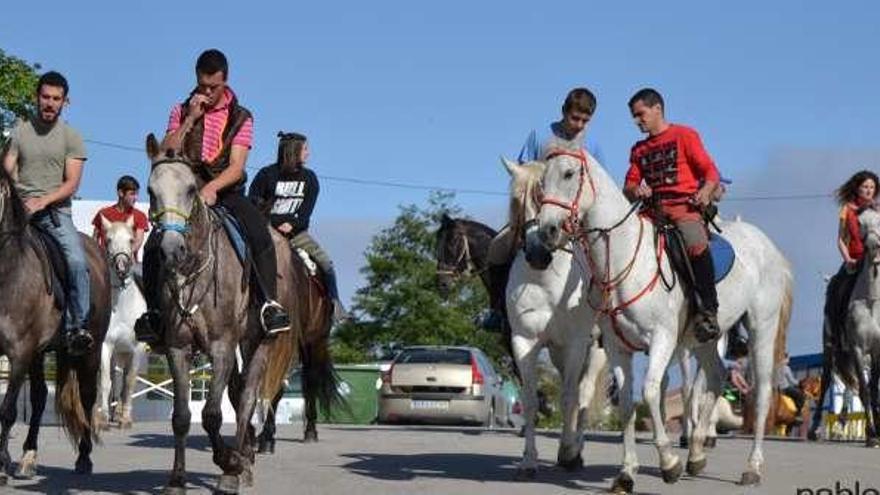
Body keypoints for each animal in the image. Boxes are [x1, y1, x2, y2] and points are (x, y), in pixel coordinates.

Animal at [0, 168, 111, 484]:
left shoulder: (19, 354)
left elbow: (7, 410)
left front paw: (1, 464)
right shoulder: (25, 353)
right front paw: (9, 460)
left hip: (90, 350)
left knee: (86, 397)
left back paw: (84, 458)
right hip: (41, 353)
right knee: (38, 399)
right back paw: (28, 457)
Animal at [144, 136, 296, 495]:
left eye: (190, 189)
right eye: (151, 191)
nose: (170, 250)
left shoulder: (222, 348)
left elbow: (212, 414)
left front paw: (228, 463)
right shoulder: (178, 349)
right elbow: (182, 416)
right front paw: (177, 480)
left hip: (258, 343)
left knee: (247, 399)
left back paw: (237, 467)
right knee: (238, 393)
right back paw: (245, 458)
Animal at [502, 161, 604, 478]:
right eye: (515, 201)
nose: (537, 253)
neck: (544, 282)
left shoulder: (576, 344)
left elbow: (570, 398)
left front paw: (570, 453)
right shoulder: (524, 342)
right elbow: (531, 401)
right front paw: (528, 461)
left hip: (596, 349)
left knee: (584, 395)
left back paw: (573, 452)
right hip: (559, 352)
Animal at [524, 151, 792, 492]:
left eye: (569, 174)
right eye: (542, 182)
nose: (548, 230)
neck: (625, 258)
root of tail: (768, 245)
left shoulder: (661, 339)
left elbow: (651, 392)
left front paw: (668, 463)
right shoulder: (618, 348)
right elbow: (627, 402)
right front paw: (626, 473)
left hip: (762, 328)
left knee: (762, 392)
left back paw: (752, 468)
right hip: (705, 339)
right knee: (716, 377)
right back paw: (696, 455)